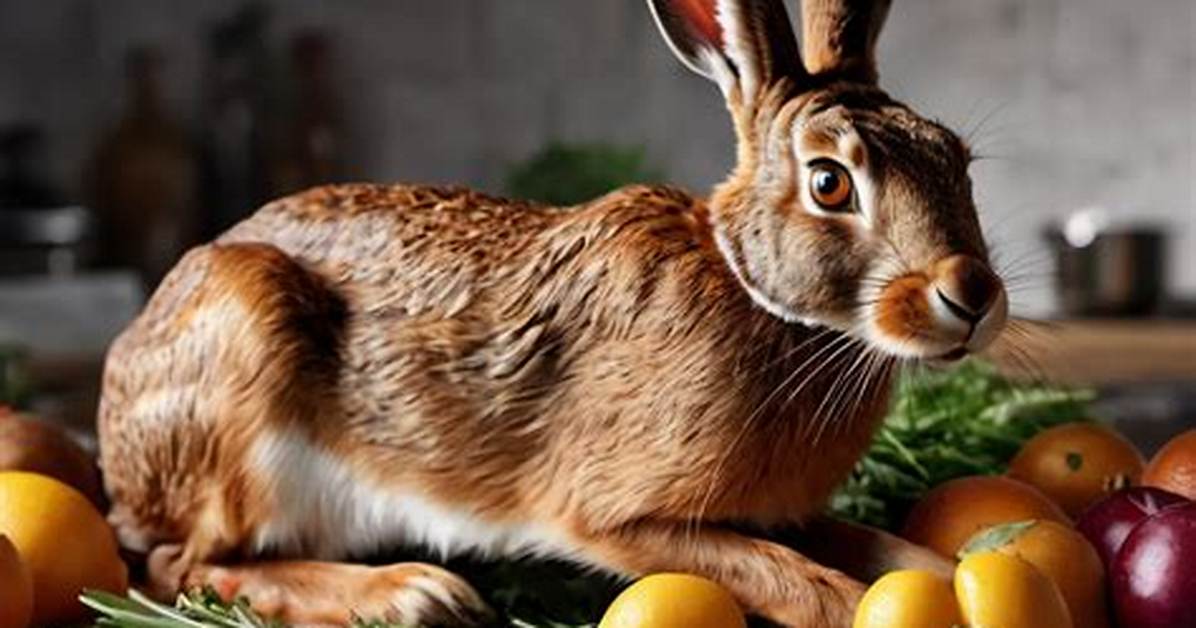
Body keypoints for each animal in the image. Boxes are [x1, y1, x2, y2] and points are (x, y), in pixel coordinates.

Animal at [97, 0, 1008, 625]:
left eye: (959, 161)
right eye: (829, 184)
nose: (972, 296)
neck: (757, 294)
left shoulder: (783, 512)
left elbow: (886, 549)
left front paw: (953, 576)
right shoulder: (616, 515)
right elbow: (792, 578)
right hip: (242, 378)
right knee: (180, 566)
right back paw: (414, 594)